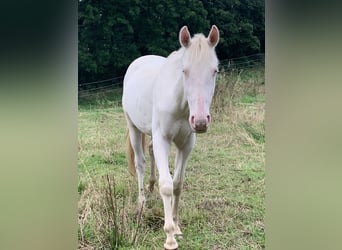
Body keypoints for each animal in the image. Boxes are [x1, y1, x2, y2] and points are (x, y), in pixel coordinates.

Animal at [122, 24, 219, 249]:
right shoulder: (163, 140)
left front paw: (176, 226)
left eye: (215, 71)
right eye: (184, 71)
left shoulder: (186, 144)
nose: (200, 122)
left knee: (150, 153)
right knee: (140, 162)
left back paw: (150, 185)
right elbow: (166, 186)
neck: (181, 105)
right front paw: (169, 237)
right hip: (133, 127)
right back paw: (141, 202)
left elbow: (177, 185)